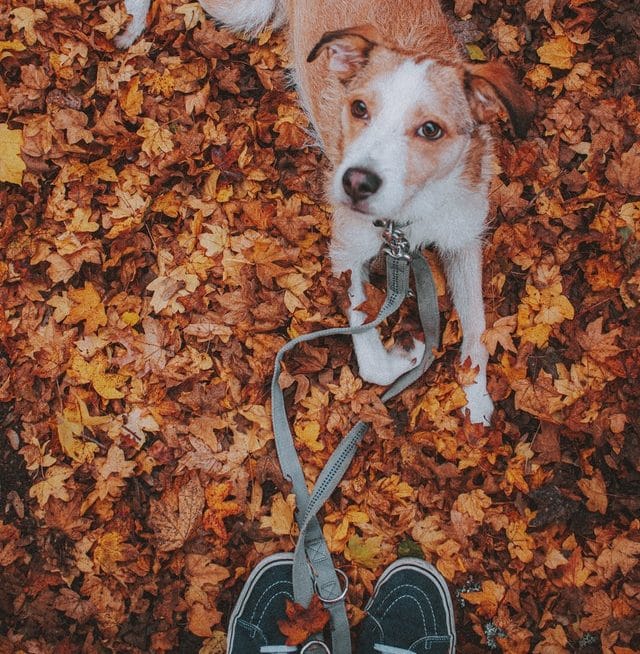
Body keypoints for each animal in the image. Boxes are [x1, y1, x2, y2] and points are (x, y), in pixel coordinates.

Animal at [116, 0, 536, 426]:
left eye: (431, 130)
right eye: (359, 108)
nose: (356, 183)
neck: (409, 215)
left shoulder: (463, 239)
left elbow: (477, 326)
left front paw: (476, 396)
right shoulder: (348, 253)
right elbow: (369, 353)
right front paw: (407, 356)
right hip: (245, 12)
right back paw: (131, 21)